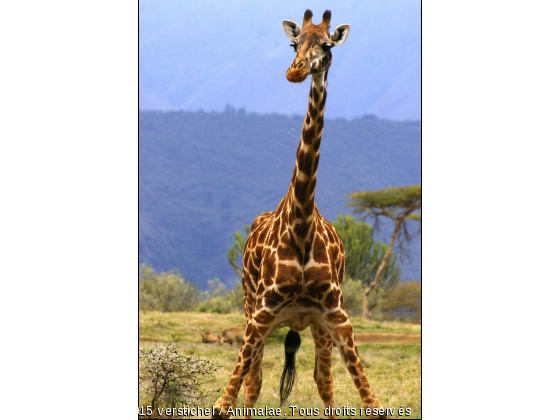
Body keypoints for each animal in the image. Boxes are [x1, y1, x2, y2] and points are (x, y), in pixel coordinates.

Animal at [210, 9, 384, 416]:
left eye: (327, 45)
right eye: (294, 44)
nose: (295, 71)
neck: (301, 225)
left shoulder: (338, 315)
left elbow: (364, 395)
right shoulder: (260, 315)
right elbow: (230, 395)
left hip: (315, 325)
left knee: (323, 379)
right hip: (251, 308)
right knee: (254, 381)